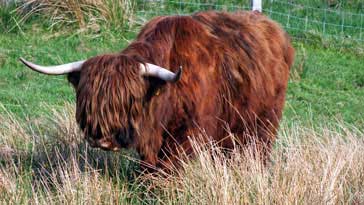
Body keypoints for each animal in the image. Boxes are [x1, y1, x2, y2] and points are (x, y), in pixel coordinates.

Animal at [19, 10, 294, 170]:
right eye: (87, 99)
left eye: (129, 100)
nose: (102, 140)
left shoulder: (189, 133)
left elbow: (169, 166)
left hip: (263, 121)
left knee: (257, 148)